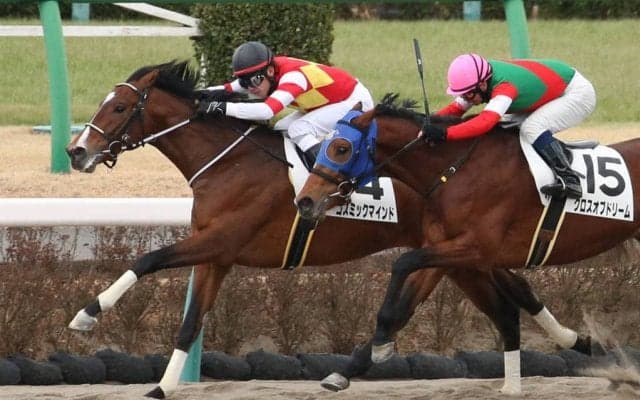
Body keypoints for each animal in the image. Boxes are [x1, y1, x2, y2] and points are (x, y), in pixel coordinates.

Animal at [65, 62, 597, 398]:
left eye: (118, 108)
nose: (76, 151)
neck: (228, 161)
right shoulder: (217, 255)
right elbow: (189, 322)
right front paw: (160, 386)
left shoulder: (219, 240)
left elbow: (147, 258)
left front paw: (86, 315)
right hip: (457, 251)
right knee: (516, 290)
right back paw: (574, 342)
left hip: (455, 251)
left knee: (508, 296)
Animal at [295, 93, 639, 392]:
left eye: (341, 148)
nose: (305, 200)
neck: (456, 171)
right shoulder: (443, 252)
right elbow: (403, 307)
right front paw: (349, 368)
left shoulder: (475, 249)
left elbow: (402, 262)